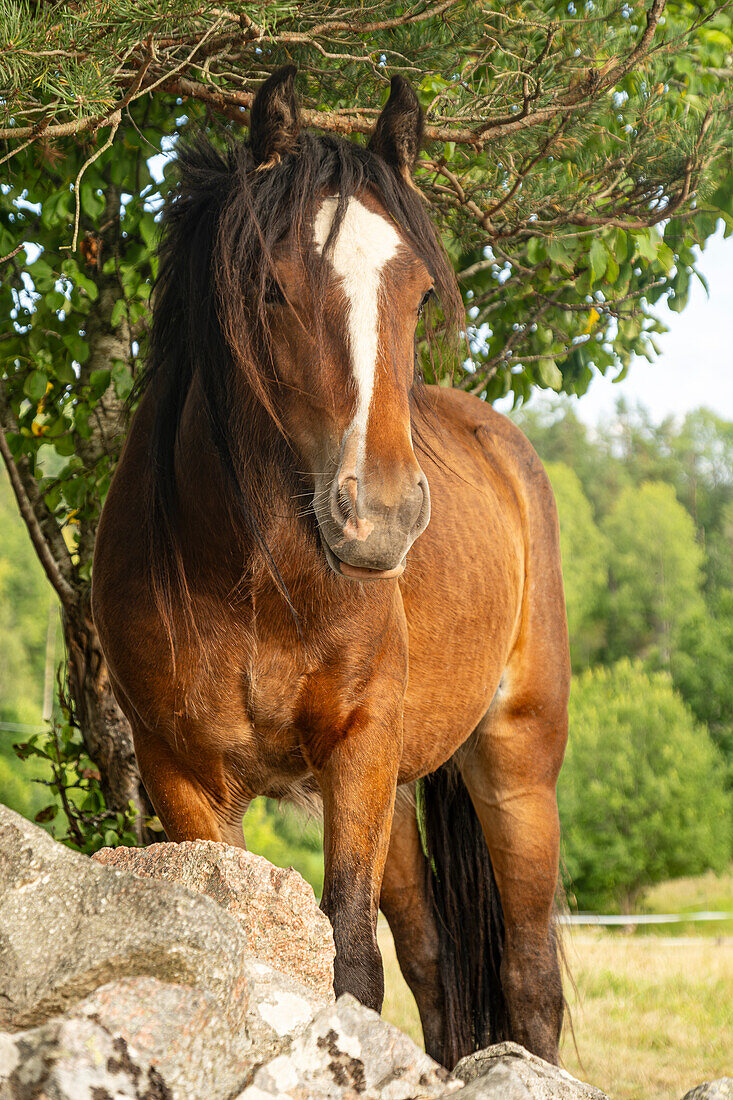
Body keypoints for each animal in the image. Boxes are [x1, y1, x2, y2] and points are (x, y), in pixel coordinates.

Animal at [91, 66, 567, 1064]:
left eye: (419, 296)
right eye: (271, 291)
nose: (380, 516)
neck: (253, 577)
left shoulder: (359, 747)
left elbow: (349, 959)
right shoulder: (183, 776)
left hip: (514, 764)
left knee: (528, 979)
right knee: (433, 962)